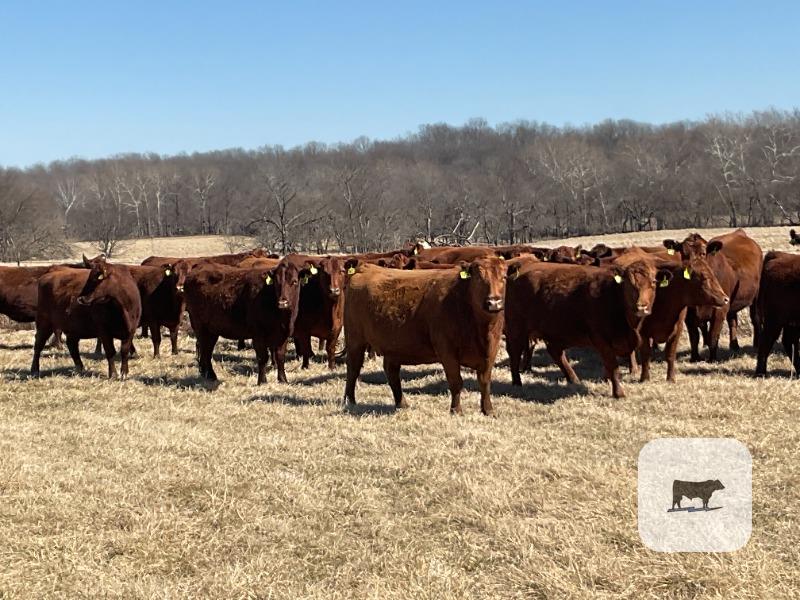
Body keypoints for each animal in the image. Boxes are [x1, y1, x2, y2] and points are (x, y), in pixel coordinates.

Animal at [343, 257, 509, 415]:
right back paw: (350, 400)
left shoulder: (491, 353)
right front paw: (456, 410)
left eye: (504, 277)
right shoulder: (447, 352)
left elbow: (485, 383)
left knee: (391, 371)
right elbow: (456, 382)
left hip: (393, 346)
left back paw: (401, 403)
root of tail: (364, 266)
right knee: (353, 368)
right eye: (478, 277)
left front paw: (488, 410)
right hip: (355, 340)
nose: (494, 302)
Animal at [504, 258, 668, 397]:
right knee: (514, 353)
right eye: (628, 284)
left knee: (556, 353)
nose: (641, 306)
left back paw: (574, 379)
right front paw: (619, 393)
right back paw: (517, 382)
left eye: (653, 282)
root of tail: (517, 273)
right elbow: (613, 367)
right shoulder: (602, 341)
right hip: (516, 329)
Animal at [667, 230, 762, 361]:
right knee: (732, 321)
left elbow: (713, 335)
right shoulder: (689, 312)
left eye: (703, 253)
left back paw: (756, 344)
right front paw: (695, 358)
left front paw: (712, 359)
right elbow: (694, 336)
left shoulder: (720, 309)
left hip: (756, 297)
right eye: (682, 253)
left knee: (755, 319)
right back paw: (734, 345)